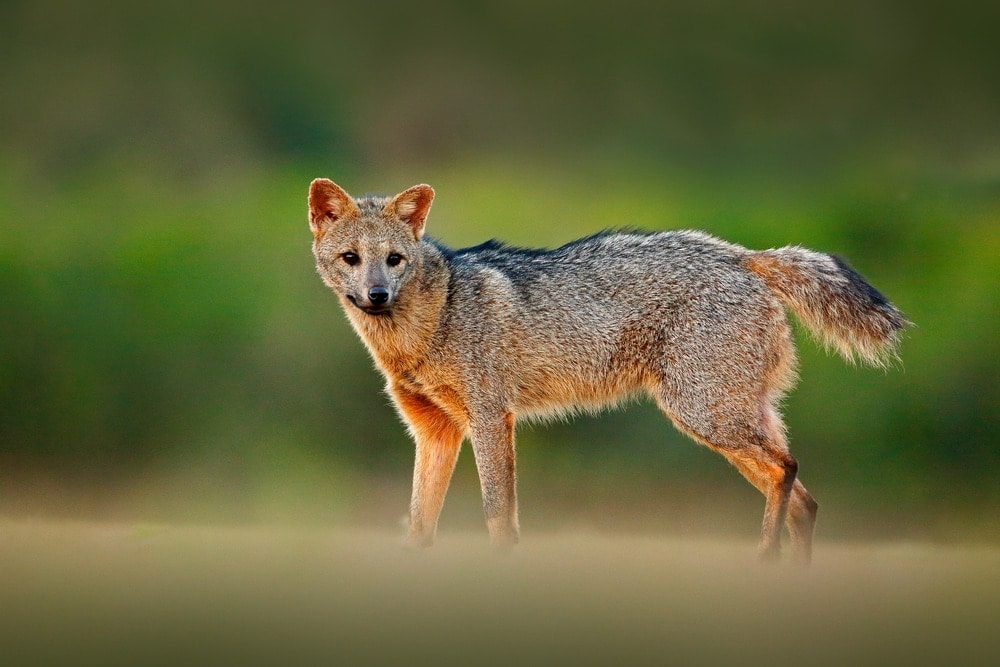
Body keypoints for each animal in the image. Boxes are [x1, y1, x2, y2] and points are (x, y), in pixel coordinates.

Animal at [308, 178, 909, 564]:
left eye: (394, 260)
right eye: (351, 259)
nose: (377, 296)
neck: (431, 322)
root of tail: (742, 254)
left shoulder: (490, 419)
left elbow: (498, 514)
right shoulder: (435, 432)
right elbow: (418, 524)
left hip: (705, 417)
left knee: (787, 469)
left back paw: (763, 559)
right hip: (725, 423)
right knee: (803, 499)